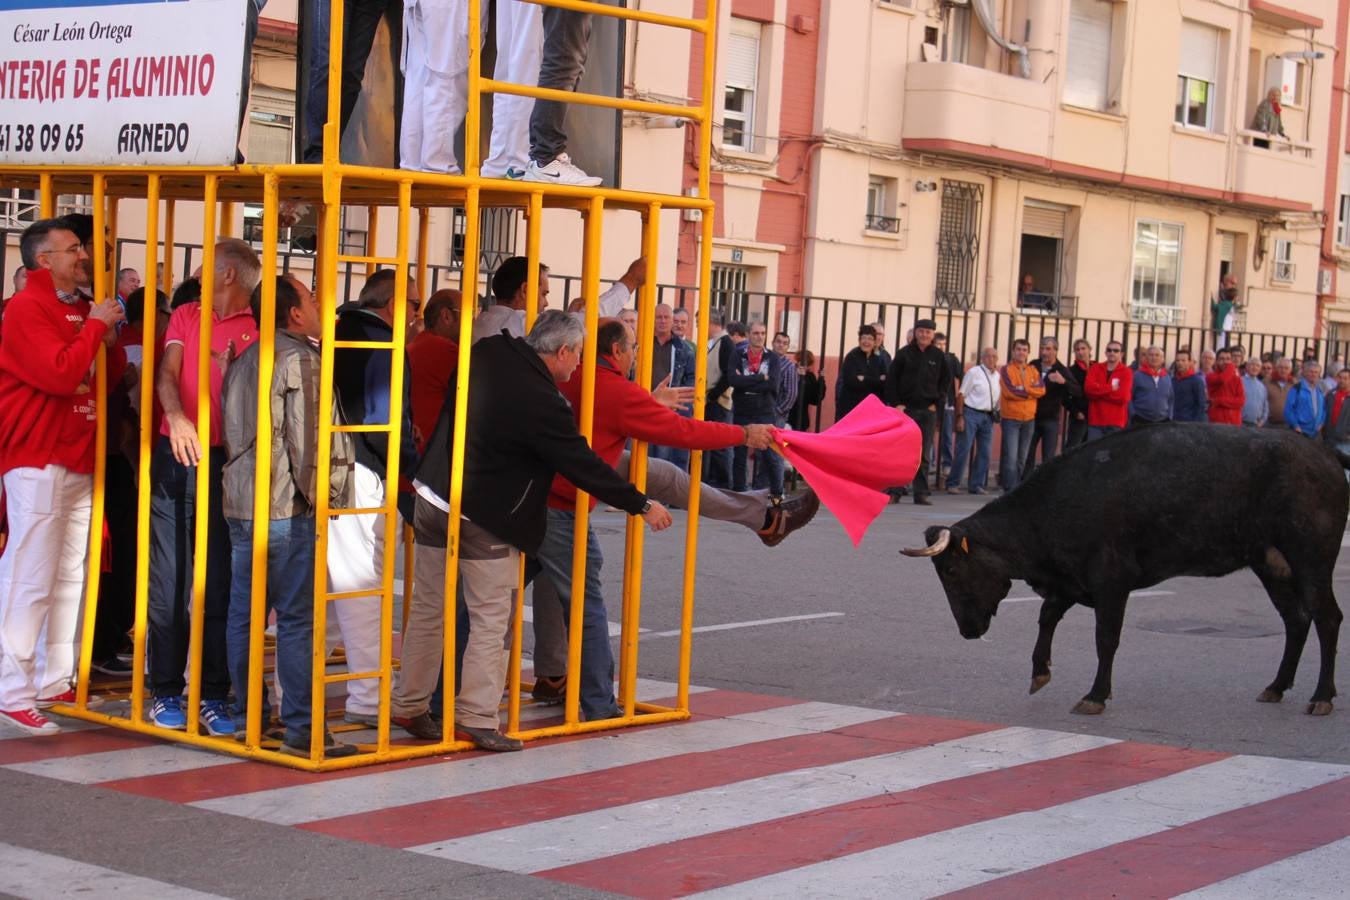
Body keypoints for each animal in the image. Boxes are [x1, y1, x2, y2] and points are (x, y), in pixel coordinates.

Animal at [901, 423, 1344, 717]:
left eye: (951, 570)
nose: (967, 630)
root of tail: (1325, 454)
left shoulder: (1111, 582)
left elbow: (1105, 638)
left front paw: (1095, 695)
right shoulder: (1069, 581)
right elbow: (1046, 618)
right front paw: (1040, 672)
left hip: (1311, 560)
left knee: (1327, 618)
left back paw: (1322, 695)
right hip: (1271, 565)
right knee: (1296, 620)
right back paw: (1277, 686)